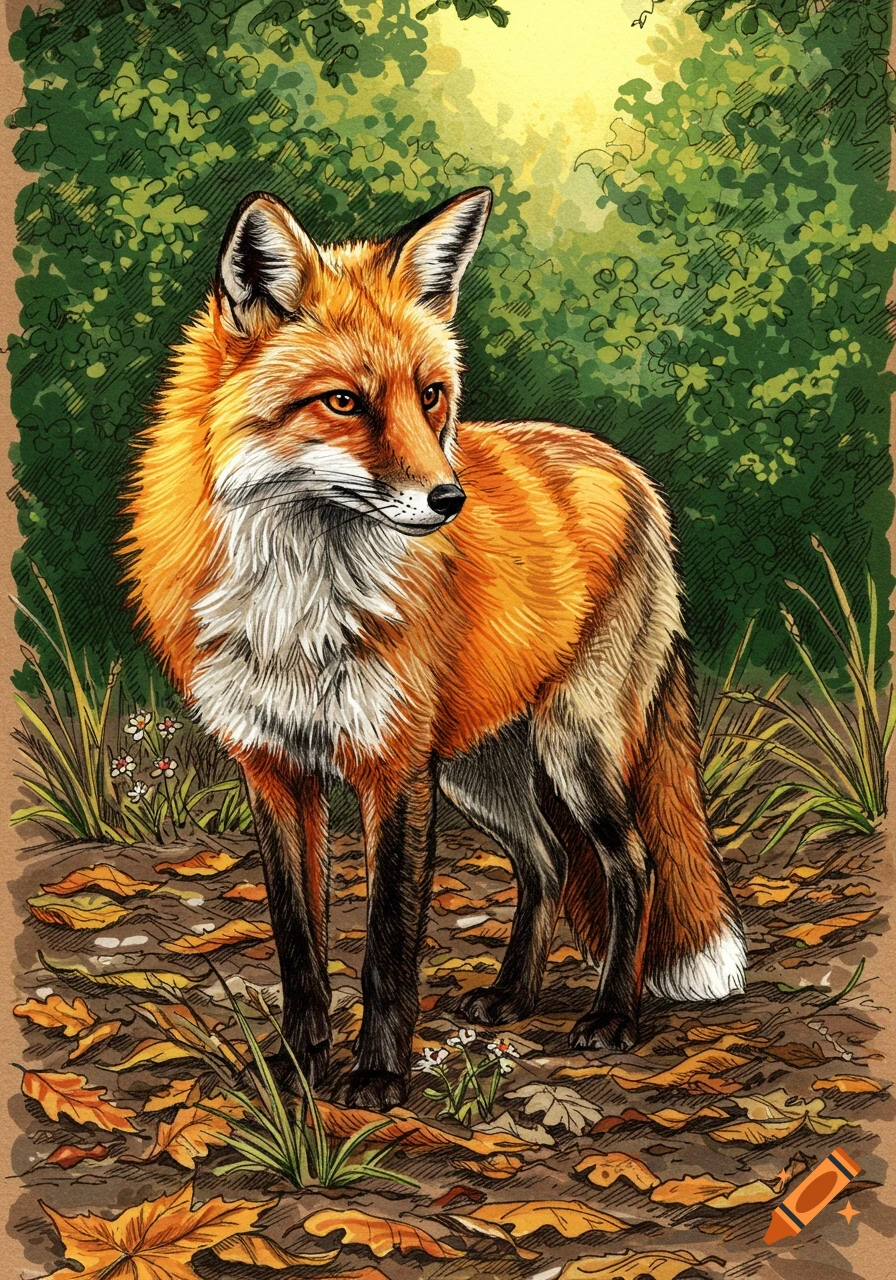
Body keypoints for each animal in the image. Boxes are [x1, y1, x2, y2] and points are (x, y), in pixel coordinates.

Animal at [124, 186, 747, 1111]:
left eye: (430, 396)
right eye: (343, 403)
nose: (450, 500)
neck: (300, 601)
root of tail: (630, 471)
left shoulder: (393, 768)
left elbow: (387, 947)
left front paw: (379, 1075)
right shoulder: (273, 766)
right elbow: (299, 946)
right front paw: (296, 1065)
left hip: (571, 746)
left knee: (632, 861)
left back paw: (612, 1016)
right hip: (478, 768)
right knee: (546, 862)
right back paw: (512, 995)